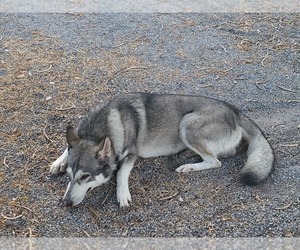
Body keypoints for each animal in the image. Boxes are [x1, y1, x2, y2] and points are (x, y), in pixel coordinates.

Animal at [49, 93, 274, 207]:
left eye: (85, 176)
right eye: (69, 175)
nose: (65, 202)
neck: (99, 130)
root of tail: (236, 112)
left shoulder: (131, 154)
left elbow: (121, 173)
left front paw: (122, 194)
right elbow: (66, 149)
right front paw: (58, 161)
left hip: (187, 124)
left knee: (216, 161)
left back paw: (188, 166)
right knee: (225, 154)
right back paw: (186, 154)